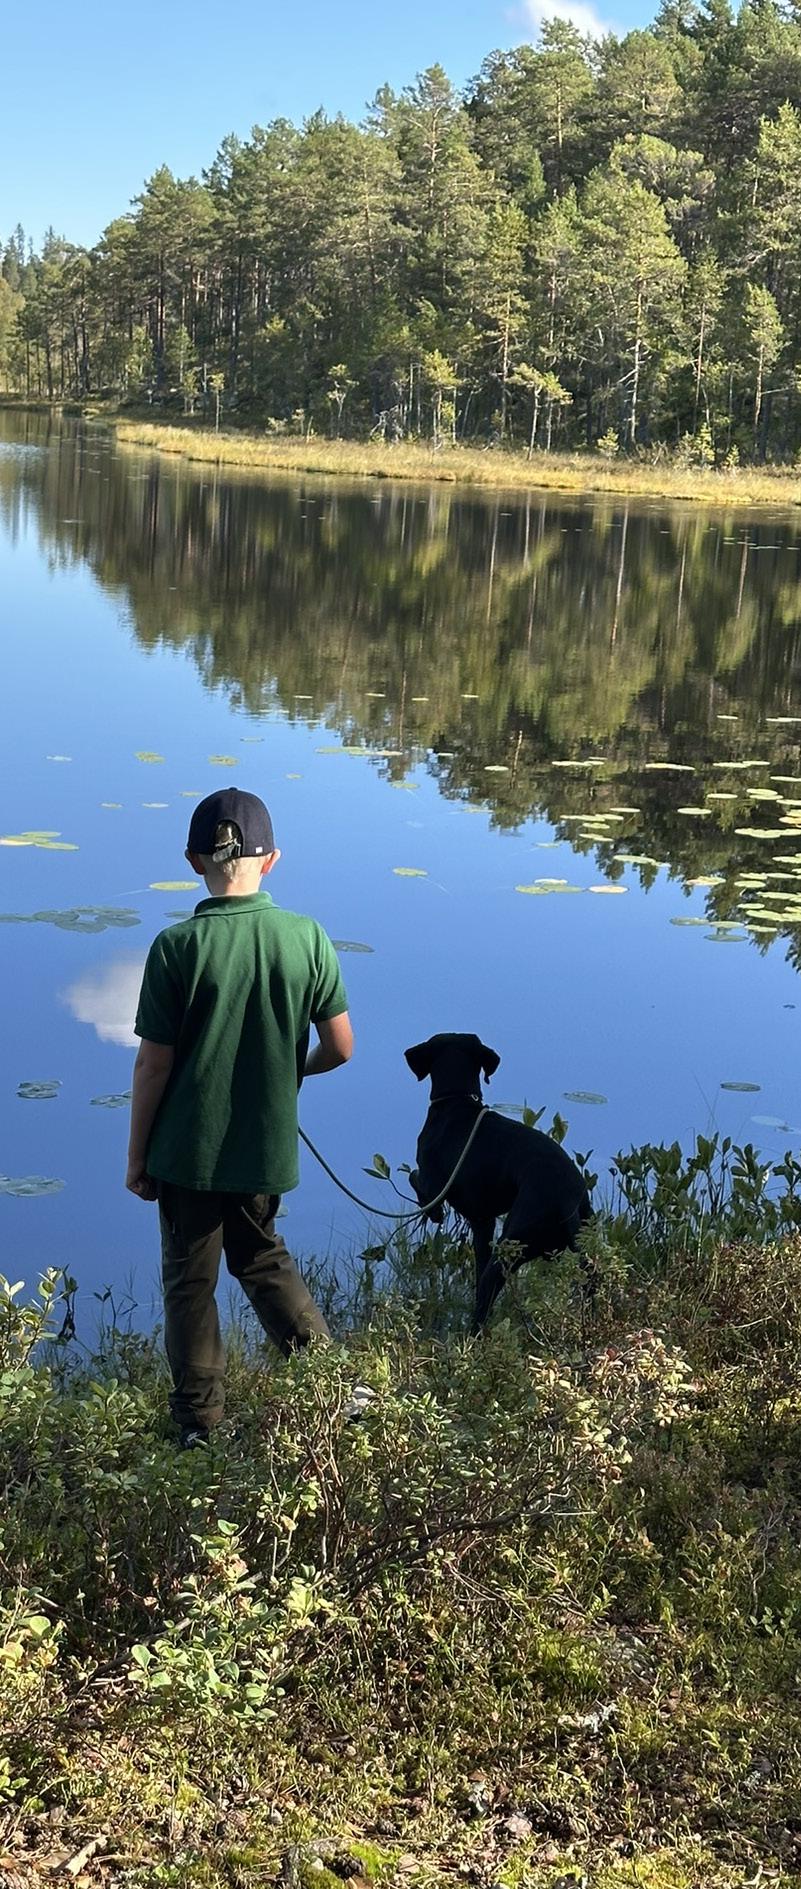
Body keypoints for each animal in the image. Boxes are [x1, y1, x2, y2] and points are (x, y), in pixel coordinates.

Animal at [405, 1033, 592, 1331]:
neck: (456, 1104)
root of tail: (567, 1199)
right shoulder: (484, 1221)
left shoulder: (434, 1187)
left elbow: (417, 1181)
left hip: (511, 1246)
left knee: (485, 1300)